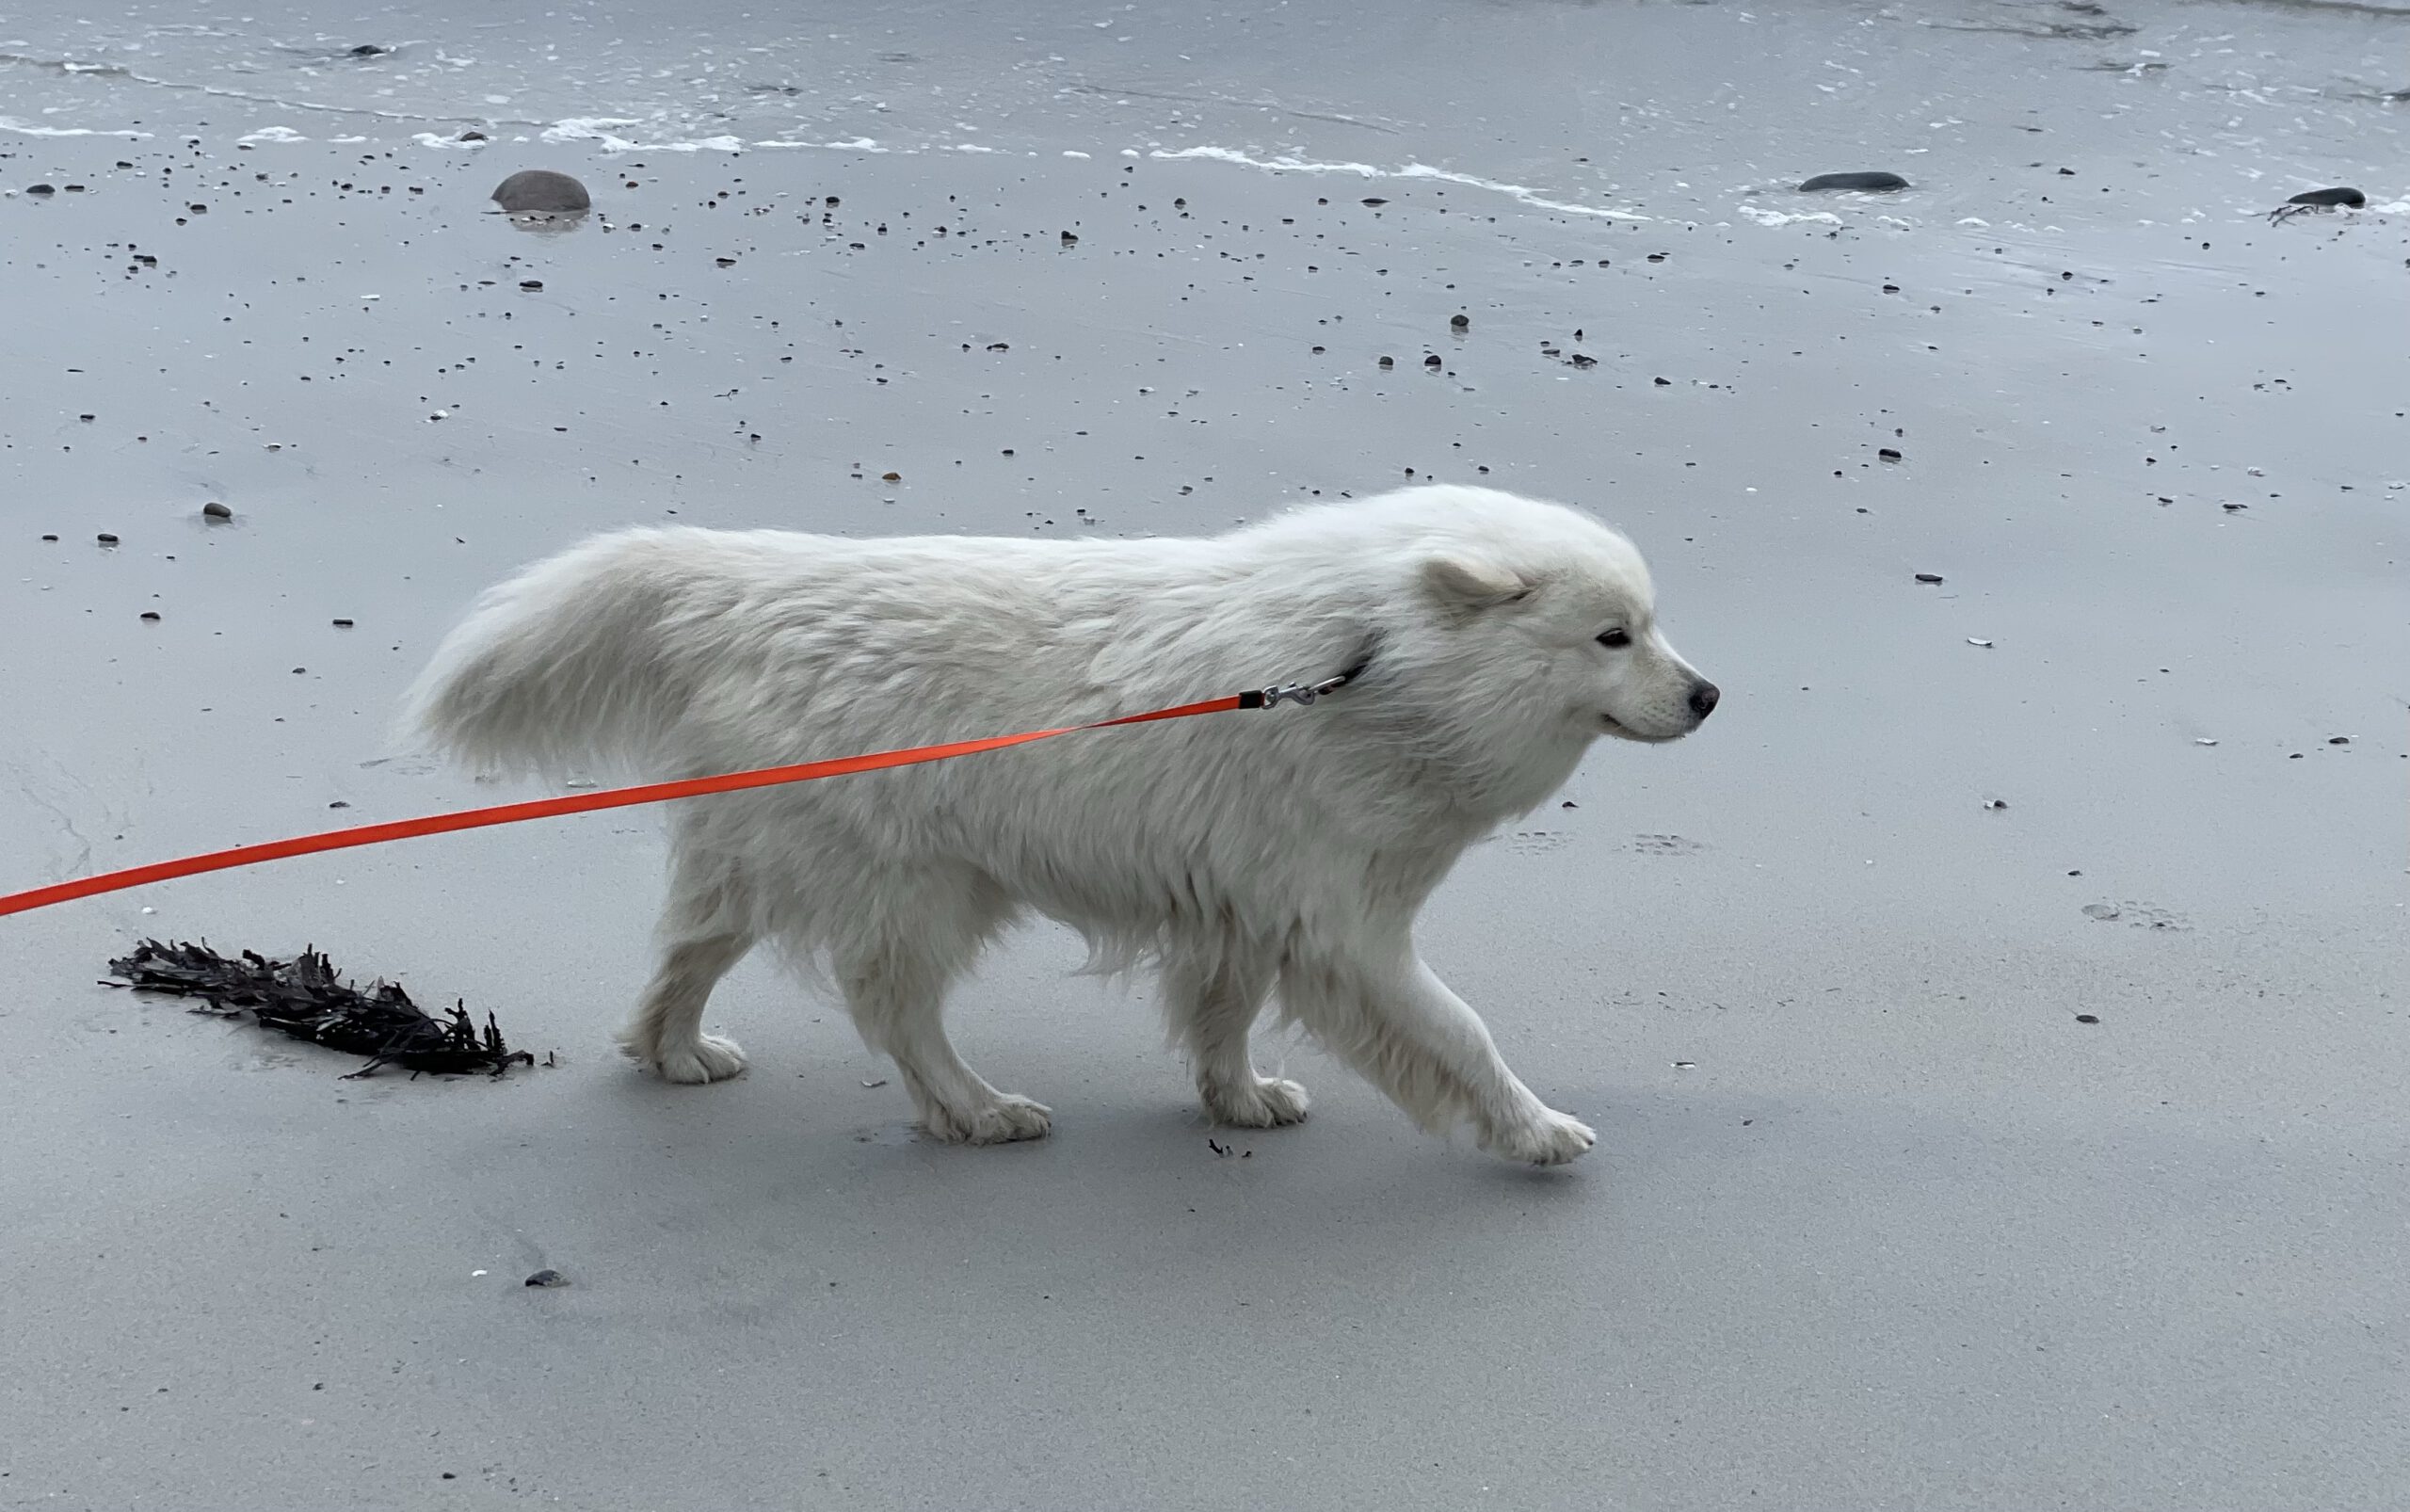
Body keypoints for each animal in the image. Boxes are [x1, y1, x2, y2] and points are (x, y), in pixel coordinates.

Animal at [405, 487, 1715, 1171]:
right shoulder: (1349, 929)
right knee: (895, 1010)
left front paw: (1237, 1099)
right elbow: (1460, 1032)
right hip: (927, 885)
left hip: (774, 848)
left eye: (1651, 627)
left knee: (688, 951)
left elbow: (1223, 1018)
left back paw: (674, 1051)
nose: (1709, 697)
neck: (1371, 661)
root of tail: (750, 584)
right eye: (1612, 636)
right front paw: (1535, 1130)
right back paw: (977, 1109)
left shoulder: (1251, 906)